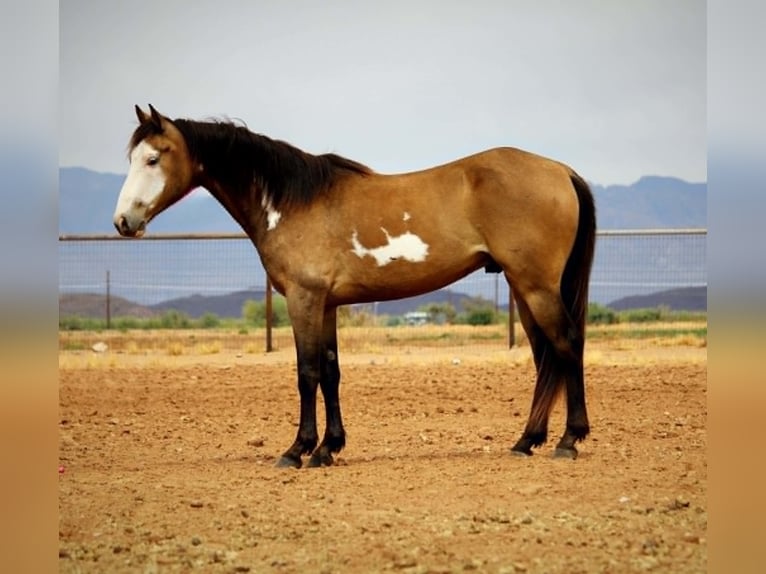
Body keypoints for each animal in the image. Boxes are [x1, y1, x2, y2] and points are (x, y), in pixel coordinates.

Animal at [114, 104, 596, 467]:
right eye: (133, 158)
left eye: (154, 158)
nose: (123, 222)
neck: (291, 201)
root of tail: (560, 170)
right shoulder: (327, 305)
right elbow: (331, 372)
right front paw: (329, 448)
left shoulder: (304, 300)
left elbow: (306, 372)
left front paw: (297, 450)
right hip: (524, 288)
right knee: (545, 356)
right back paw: (526, 441)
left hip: (536, 286)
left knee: (567, 344)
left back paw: (568, 441)